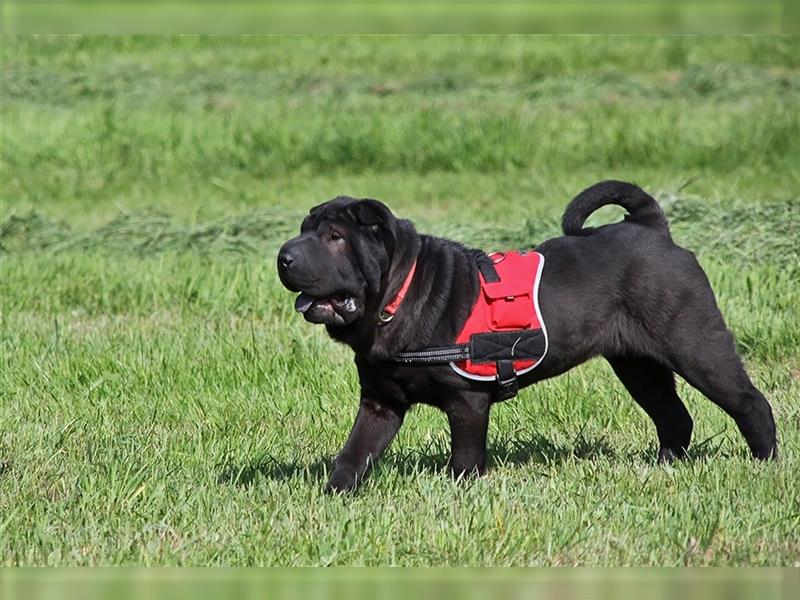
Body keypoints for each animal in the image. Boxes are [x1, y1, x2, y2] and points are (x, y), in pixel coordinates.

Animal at [278, 182, 780, 492]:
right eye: (305, 231)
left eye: (336, 236)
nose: (284, 256)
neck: (396, 297)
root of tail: (653, 229)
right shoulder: (380, 402)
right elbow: (355, 452)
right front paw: (334, 493)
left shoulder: (467, 401)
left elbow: (464, 459)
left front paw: (459, 493)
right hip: (637, 366)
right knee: (674, 417)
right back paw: (663, 468)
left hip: (694, 343)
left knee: (749, 401)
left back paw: (766, 462)